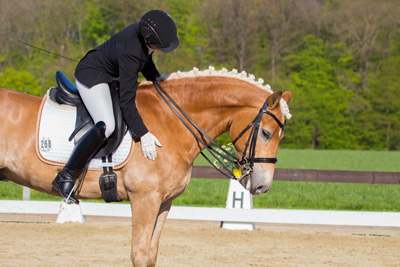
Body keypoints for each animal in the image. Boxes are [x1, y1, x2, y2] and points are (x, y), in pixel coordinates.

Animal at [1, 66, 292, 266]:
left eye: (280, 136)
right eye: (266, 133)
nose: (262, 186)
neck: (170, 121)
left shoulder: (163, 203)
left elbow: (151, 254)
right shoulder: (144, 199)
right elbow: (139, 254)